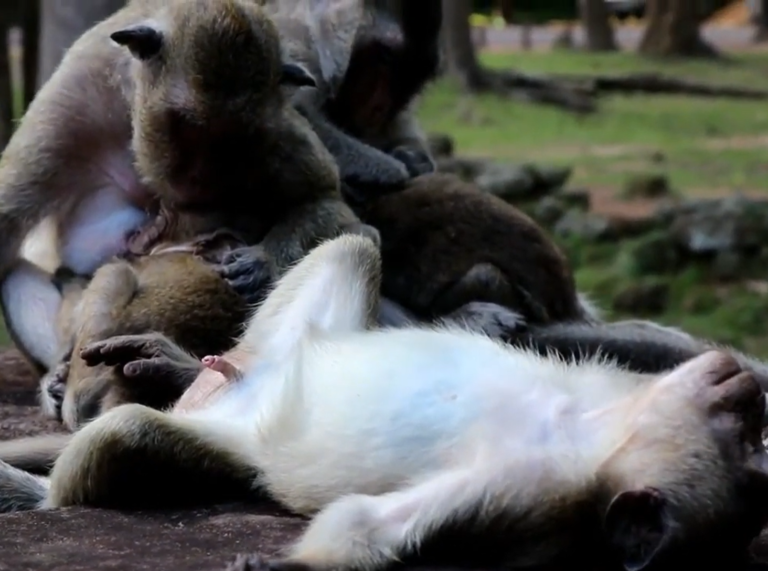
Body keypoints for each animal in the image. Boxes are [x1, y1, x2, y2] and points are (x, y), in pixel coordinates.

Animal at [0, 234, 767, 571]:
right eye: (747, 428)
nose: (742, 381)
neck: (600, 426)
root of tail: (217, 409)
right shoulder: (614, 382)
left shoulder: (527, 490)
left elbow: (365, 527)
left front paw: (283, 566)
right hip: (274, 356)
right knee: (353, 246)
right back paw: (193, 365)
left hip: (226, 440)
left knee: (124, 437)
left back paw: (41, 486)